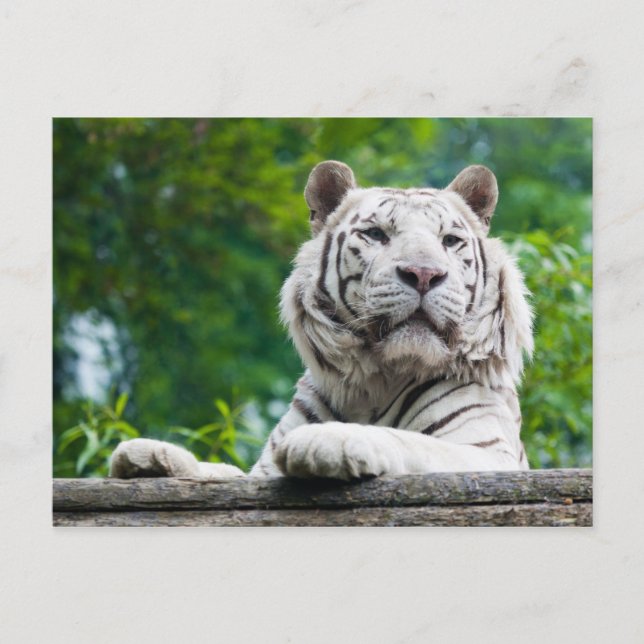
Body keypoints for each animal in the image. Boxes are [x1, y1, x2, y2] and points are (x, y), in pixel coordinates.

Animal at [110, 160, 534, 481]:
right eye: (375, 234)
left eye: (449, 241)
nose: (423, 274)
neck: (376, 382)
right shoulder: (261, 473)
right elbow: (224, 471)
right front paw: (149, 455)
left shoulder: (486, 453)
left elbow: (411, 441)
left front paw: (328, 440)